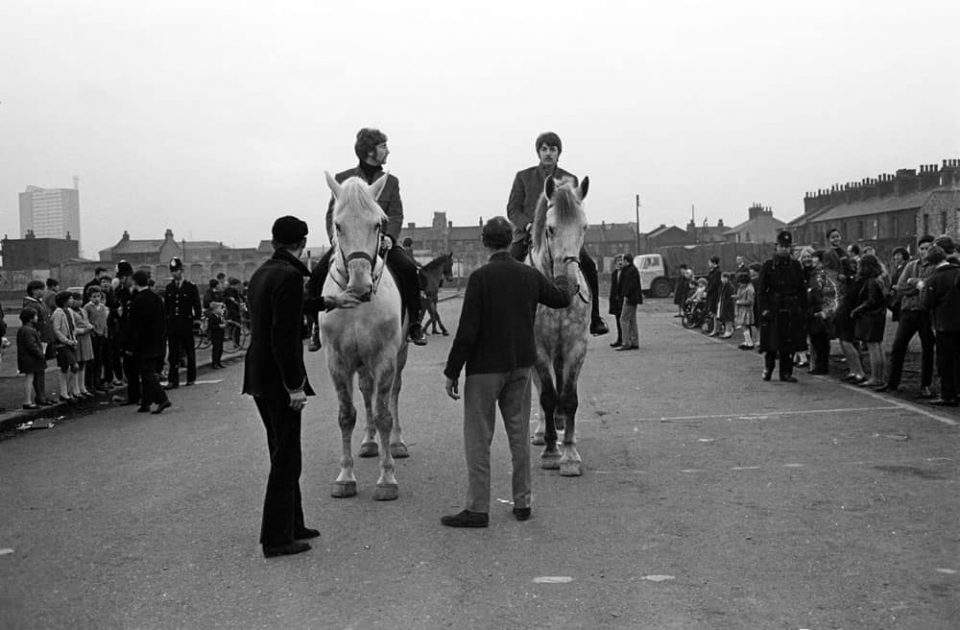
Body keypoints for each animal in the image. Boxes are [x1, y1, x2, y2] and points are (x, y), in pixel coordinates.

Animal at [322, 173, 408, 504]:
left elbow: (384, 413)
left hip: (399, 354)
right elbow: (347, 414)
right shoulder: (337, 361)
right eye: (338, 225)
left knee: (393, 393)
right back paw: (369, 442)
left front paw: (387, 478)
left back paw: (395, 443)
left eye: (377, 224)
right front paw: (345, 476)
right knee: (366, 391)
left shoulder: (385, 356)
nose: (360, 286)